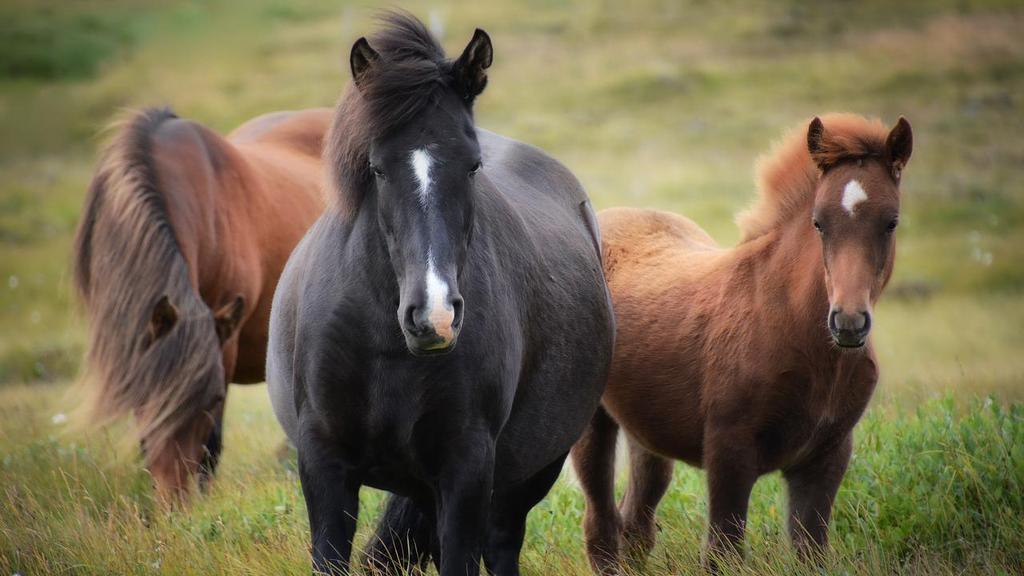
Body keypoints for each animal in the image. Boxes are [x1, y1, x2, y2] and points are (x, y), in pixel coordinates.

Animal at [266, 13, 614, 576]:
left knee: (501, 544)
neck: (385, 344)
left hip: (526, 475)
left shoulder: (466, 469)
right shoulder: (324, 464)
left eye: (472, 166)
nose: (434, 317)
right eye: (377, 168)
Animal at [571, 114, 913, 573]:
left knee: (636, 522)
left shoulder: (827, 456)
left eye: (891, 222)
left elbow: (810, 550)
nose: (848, 322)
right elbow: (723, 551)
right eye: (818, 222)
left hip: (647, 431)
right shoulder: (729, 452)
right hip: (591, 422)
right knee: (601, 526)